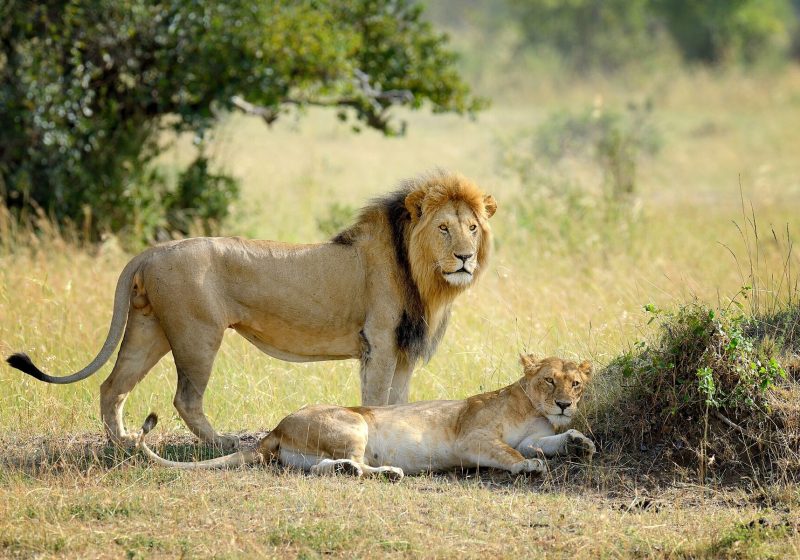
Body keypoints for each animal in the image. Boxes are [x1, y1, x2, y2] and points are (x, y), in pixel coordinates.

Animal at [6, 170, 496, 449]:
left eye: (473, 228)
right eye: (444, 228)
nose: (465, 258)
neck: (424, 276)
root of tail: (151, 251)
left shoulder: (404, 350)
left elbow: (400, 401)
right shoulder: (377, 343)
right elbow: (377, 400)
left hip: (149, 329)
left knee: (112, 387)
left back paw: (123, 443)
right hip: (197, 334)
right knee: (185, 397)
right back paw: (220, 443)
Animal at [136, 355, 596, 478]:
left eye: (575, 384)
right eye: (550, 381)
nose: (564, 405)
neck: (531, 407)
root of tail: (278, 427)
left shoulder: (533, 434)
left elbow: (546, 442)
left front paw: (579, 442)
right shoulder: (473, 438)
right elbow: (513, 454)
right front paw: (529, 467)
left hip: (309, 453)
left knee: (321, 468)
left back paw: (347, 470)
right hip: (353, 423)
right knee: (359, 463)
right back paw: (389, 472)